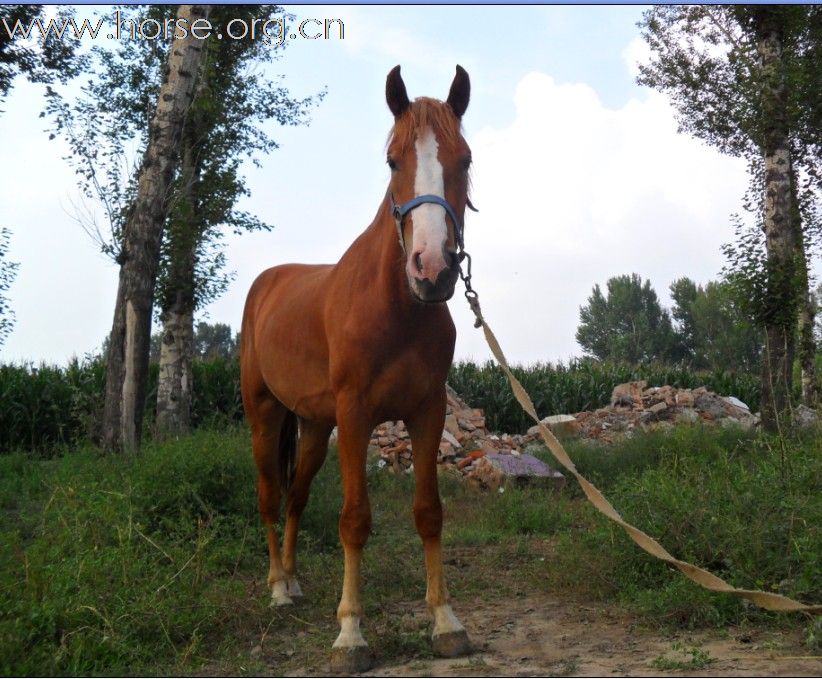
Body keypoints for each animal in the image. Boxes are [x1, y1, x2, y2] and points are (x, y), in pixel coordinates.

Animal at [241, 65, 476, 676]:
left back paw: (295, 580)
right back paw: (278, 587)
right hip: (265, 417)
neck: (395, 307)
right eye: (392, 160)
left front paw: (446, 622)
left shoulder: (426, 413)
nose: (433, 269)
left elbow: (429, 512)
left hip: (314, 428)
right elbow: (354, 520)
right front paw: (350, 633)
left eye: (465, 158)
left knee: (297, 497)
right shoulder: (356, 416)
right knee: (270, 496)